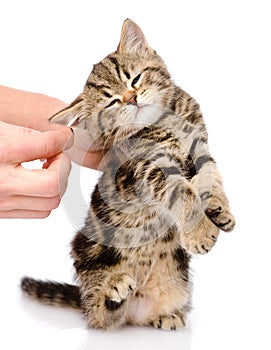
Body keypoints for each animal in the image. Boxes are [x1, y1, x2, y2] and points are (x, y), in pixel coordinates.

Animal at [21, 19, 235, 330]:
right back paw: (112, 291)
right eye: (112, 102)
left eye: (134, 79)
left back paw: (164, 314)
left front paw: (219, 208)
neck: (165, 121)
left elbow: (210, 175)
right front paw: (199, 231)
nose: (131, 98)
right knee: (98, 314)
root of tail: (137, 309)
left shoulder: (200, 145)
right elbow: (181, 190)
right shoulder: (147, 168)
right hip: (87, 250)